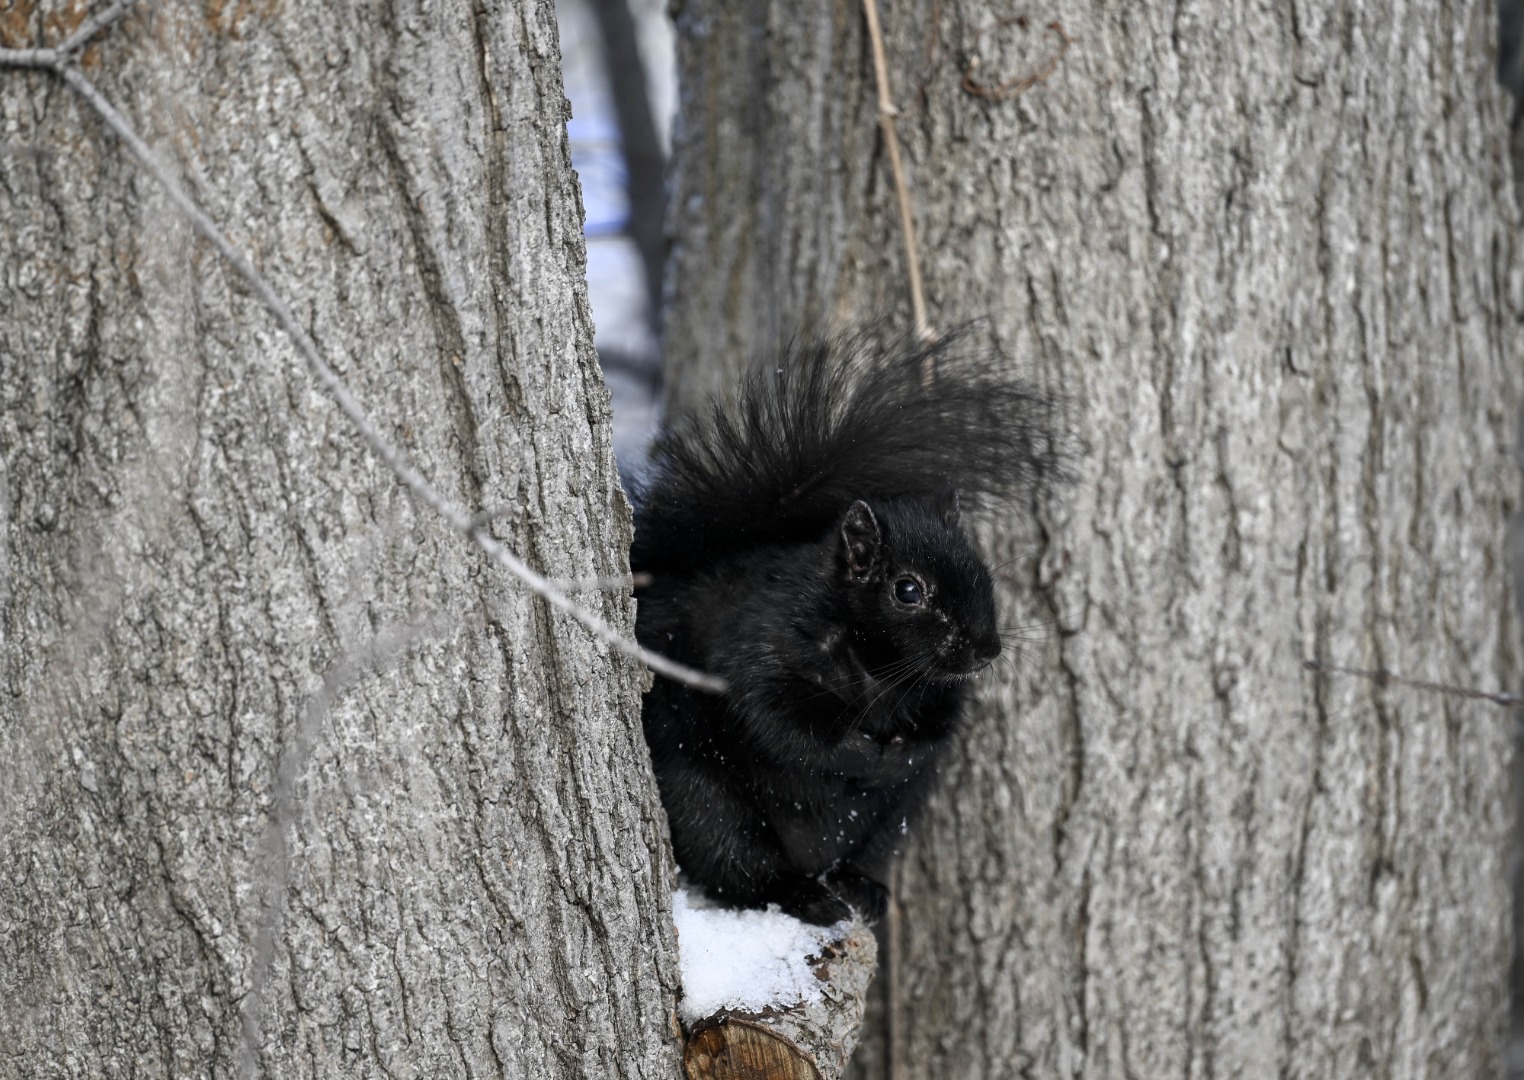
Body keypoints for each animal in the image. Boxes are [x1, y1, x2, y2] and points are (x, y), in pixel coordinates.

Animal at [630, 332, 1060, 920]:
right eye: (907, 590)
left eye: (982, 569)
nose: (986, 650)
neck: (881, 670)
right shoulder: (758, 648)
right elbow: (783, 725)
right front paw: (860, 753)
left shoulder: (944, 695)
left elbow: (938, 733)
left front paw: (895, 756)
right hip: (706, 798)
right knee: (737, 866)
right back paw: (806, 896)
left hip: (892, 828)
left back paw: (861, 889)